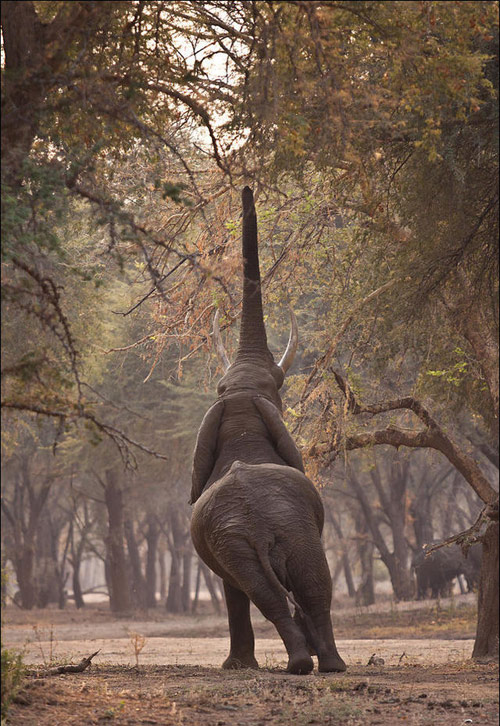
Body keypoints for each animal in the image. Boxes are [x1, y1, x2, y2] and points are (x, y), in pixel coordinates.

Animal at [189, 186, 346, 676]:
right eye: (277, 386)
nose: (246, 190)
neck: (241, 405)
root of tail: (260, 526)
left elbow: (236, 592)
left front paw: (238, 667)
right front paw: (239, 667)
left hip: (261, 536)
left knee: (286, 589)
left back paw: (314, 664)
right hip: (264, 535)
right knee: (297, 591)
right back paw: (317, 665)